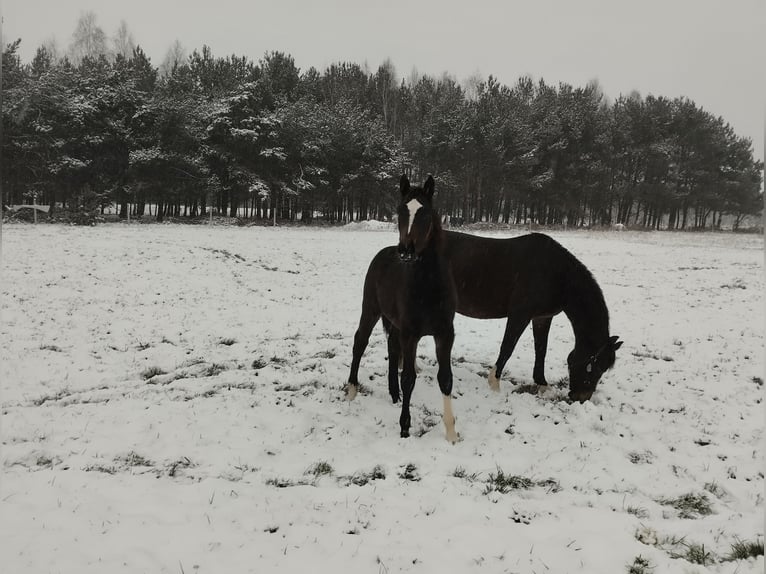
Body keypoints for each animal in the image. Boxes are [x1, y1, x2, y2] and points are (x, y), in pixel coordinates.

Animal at [345, 174, 459, 443]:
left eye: (425, 213)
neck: (429, 286)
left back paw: (393, 393)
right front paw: (405, 426)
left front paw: (451, 432)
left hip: (394, 322)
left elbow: (446, 379)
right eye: (400, 210)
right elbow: (408, 378)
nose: (406, 251)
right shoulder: (411, 334)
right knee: (360, 342)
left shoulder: (444, 333)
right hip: (370, 309)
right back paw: (352, 389)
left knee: (391, 345)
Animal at [442, 230, 622, 402]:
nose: (581, 398)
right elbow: (507, 347)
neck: (556, 275)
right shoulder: (520, 315)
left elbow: (541, 349)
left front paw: (542, 384)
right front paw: (494, 384)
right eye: (595, 367)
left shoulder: (542, 318)